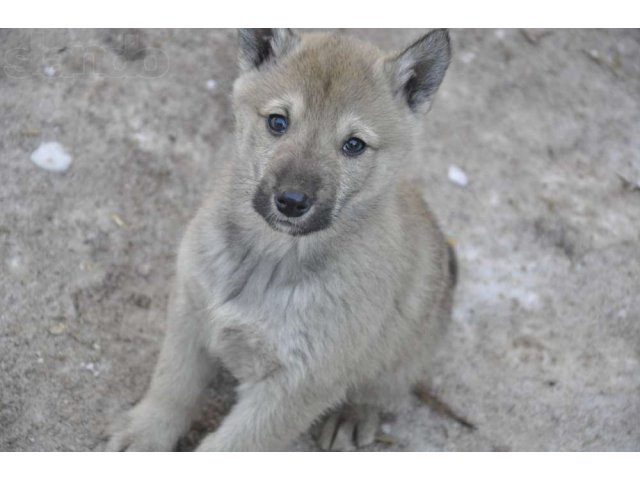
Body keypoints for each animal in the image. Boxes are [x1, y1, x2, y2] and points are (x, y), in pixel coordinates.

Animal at [105, 28, 456, 452]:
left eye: (354, 144)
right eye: (278, 122)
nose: (291, 202)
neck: (269, 259)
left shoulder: (297, 386)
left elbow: (229, 446)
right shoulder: (189, 312)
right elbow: (172, 386)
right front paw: (146, 433)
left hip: (402, 358)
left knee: (383, 392)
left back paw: (352, 415)